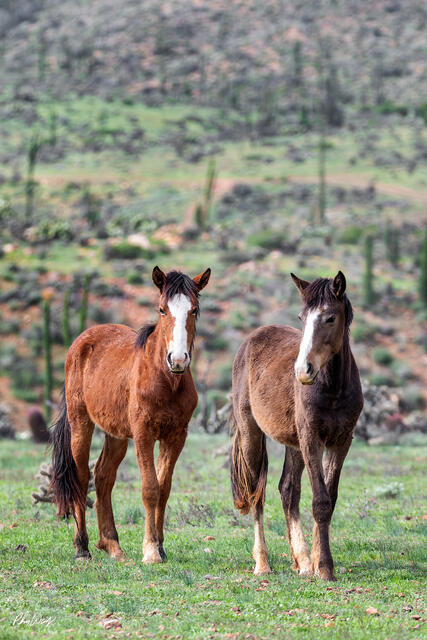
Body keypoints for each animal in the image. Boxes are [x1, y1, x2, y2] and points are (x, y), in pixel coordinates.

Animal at [50, 266, 211, 563]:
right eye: (162, 309)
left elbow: (164, 488)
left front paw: (160, 546)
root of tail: (81, 342)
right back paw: (82, 548)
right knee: (81, 477)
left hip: (116, 434)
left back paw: (112, 545)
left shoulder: (176, 436)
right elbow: (150, 489)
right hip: (81, 424)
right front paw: (150, 551)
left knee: (103, 476)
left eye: (194, 310)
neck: (165, 379)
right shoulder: (144, 433)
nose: (178, 359)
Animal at [230, 271, 363, 581]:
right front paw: (324, 567)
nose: (303, 370)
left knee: (288, 490)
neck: (333, 389)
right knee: (257, 493)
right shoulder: (311, 438)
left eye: (329, 318)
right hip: (252, 434)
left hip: (294, 444)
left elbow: (329, 498)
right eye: (302, 317)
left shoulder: (341, 441)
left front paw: (315, 561)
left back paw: (301, 561)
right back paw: (262, 563)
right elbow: (320, 501)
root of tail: (250, 340)